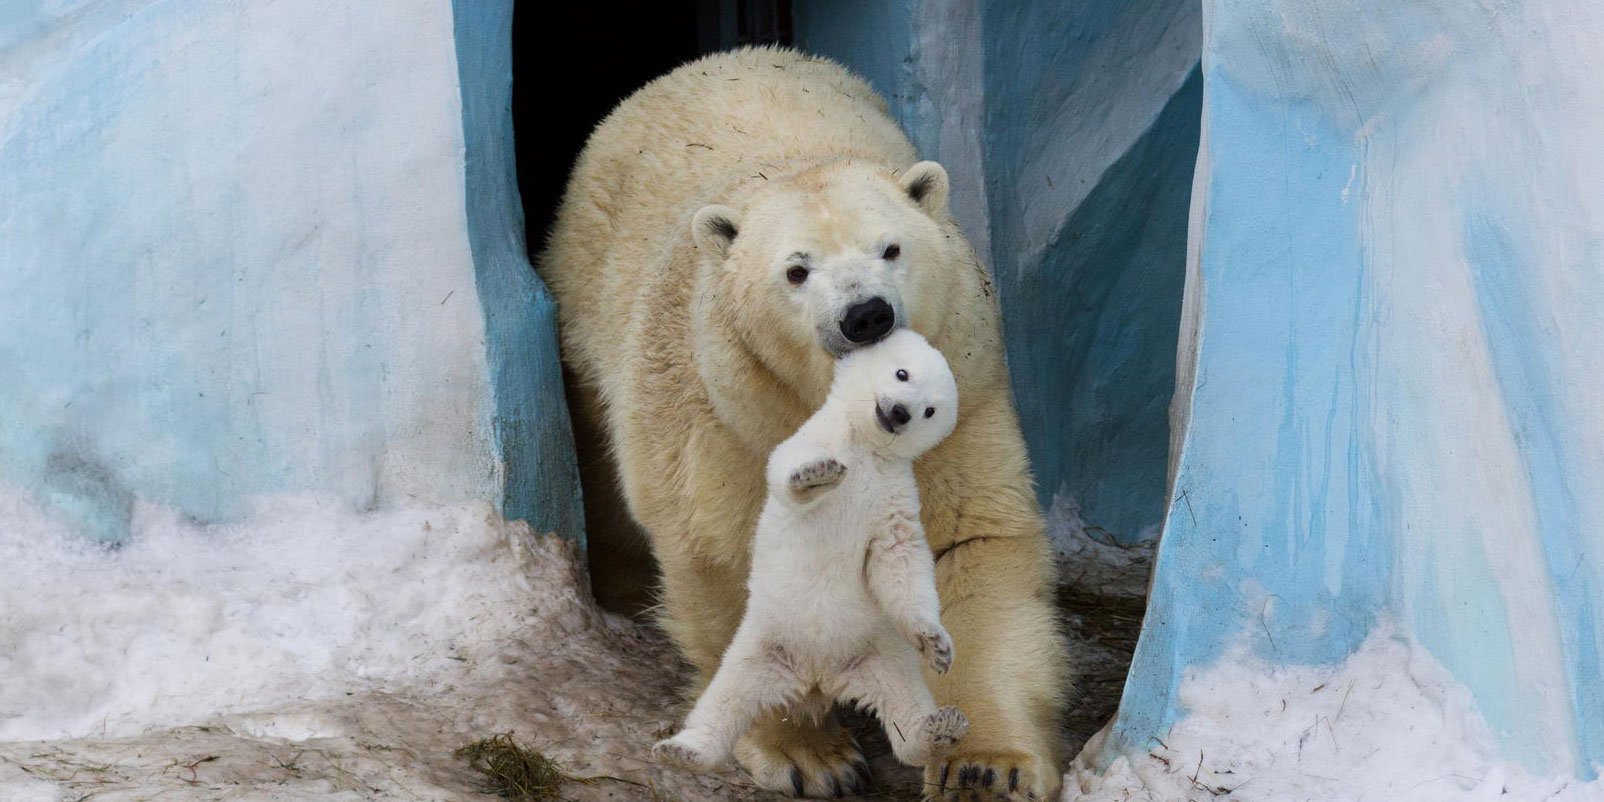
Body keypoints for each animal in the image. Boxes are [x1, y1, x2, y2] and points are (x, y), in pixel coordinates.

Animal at [651, 332, 962, 776]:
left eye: (930, 410)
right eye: (902, 373)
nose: (900, 412)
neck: (866, 448)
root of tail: (818, 677)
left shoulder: (893, 493)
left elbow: (899, 557)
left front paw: (936, 644)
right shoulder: (813, 437)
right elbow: (786, 470)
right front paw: (816, 475)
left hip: (876, 653)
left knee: (903, 701)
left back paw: (938, 730)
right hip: (762, 645)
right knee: (725, 698)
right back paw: (684, 750)